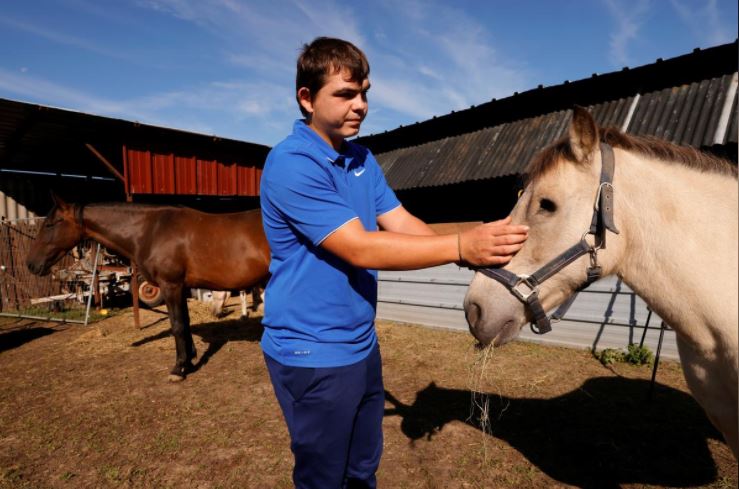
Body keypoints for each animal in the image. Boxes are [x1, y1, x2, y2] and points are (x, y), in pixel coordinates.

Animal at [26, 195, 270, 382]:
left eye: (51, 224)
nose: (31, 264)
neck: (151, 230)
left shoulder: (170, 286)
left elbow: (177, 325)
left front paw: (179, 368)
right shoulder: (179, 288)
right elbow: (185, 323)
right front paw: (190, 360)